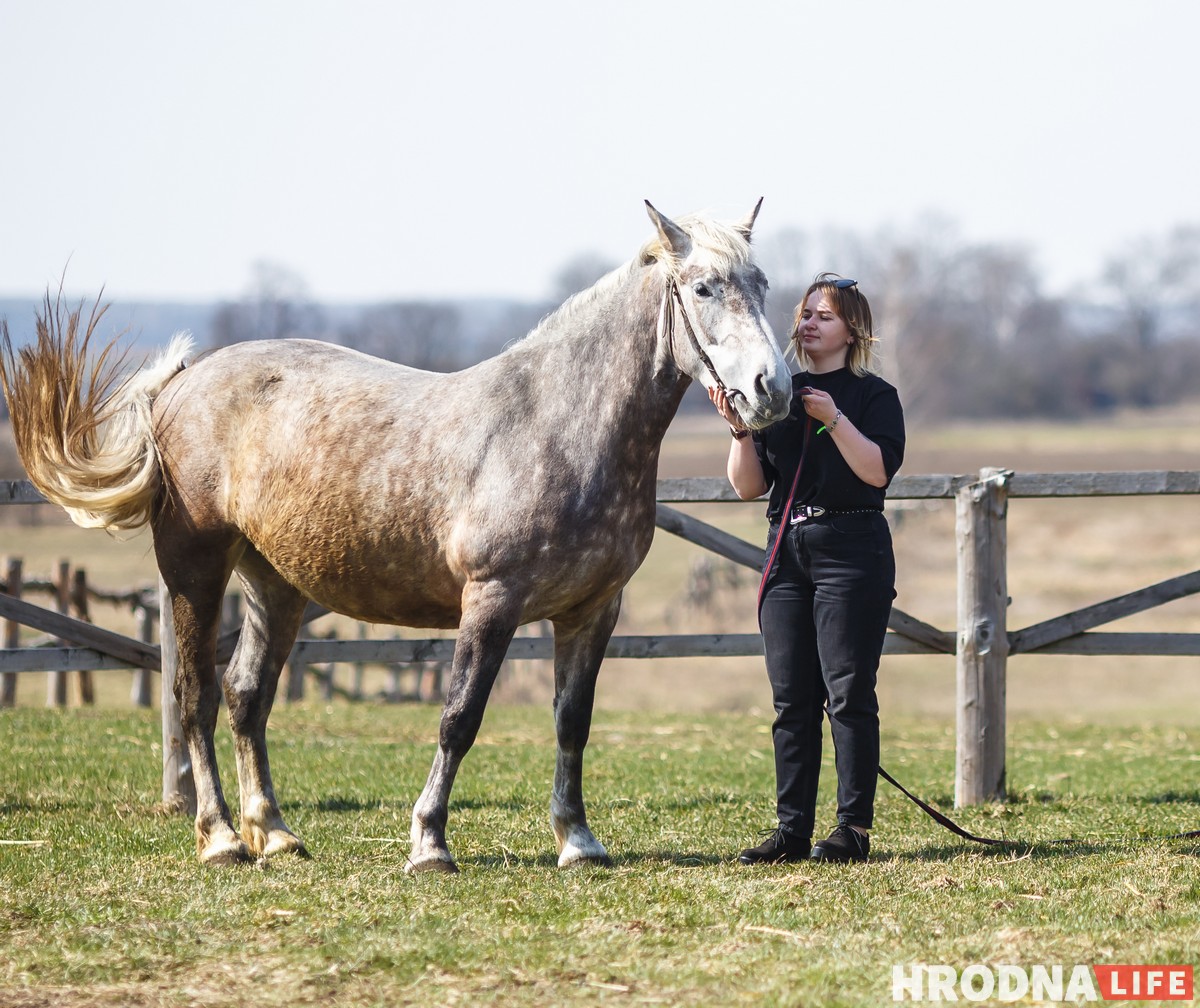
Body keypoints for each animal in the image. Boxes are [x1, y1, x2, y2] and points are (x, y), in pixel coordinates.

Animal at [2, 200, 796, 868]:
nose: (772, 389)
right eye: (702, 288)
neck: (558, 424)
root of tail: (184, 382)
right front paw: (430, 842)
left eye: (760, 282)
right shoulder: (492, 602)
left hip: (274, 585)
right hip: (195, 572)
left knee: (246, 695)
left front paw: (577, 841)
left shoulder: (594, 611)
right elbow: (458, 720)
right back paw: (223, 838)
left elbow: (573, 722)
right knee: (193, 695)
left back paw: (276, 834)